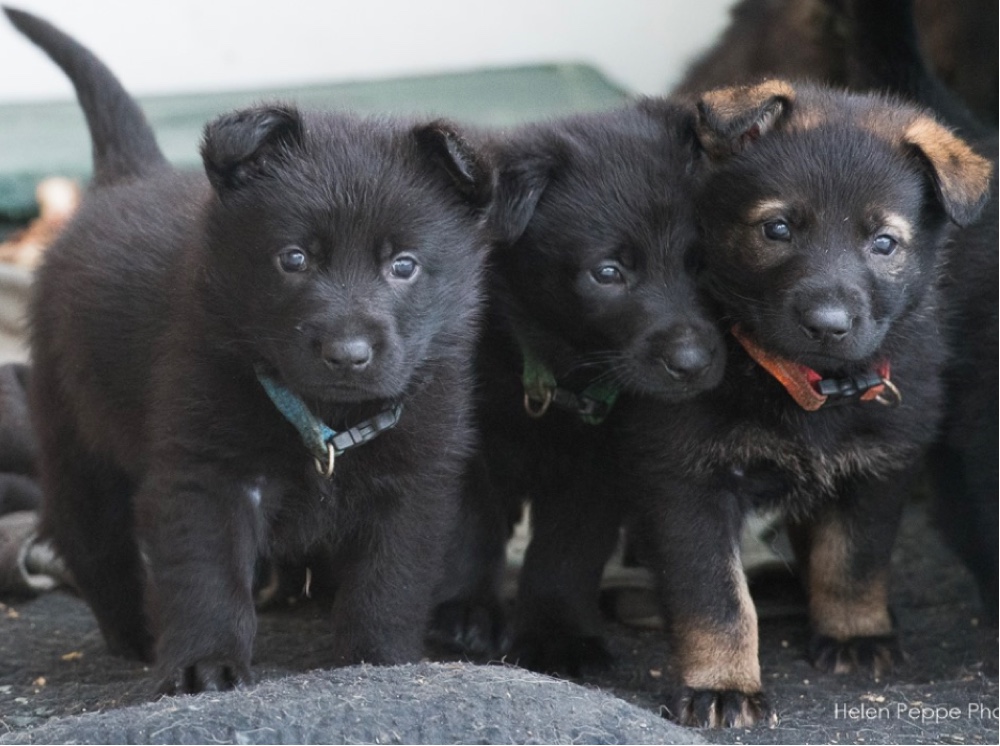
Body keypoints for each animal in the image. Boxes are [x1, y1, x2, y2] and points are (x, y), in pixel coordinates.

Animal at [7, 7, 492, 692]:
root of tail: (131, 175)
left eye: (404, 265)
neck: (325, 421)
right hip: (79, 440)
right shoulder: (210, 471)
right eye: (294, 259)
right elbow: (208, 578)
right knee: (91, 543)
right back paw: (135, 634)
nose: (347, 353)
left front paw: (378, 658)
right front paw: (205, 666)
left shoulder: (414, 484)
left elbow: (389, 581)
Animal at [432, 100, 728, 668]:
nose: (693, 362)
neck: (552, 371)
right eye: (608, 272)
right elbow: (467, 525)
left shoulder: (602, 462)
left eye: (702, 261)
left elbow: (567, 551)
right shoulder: (463, 439)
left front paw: (556, 634)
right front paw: (464, 614)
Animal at [616, 78, 992, 724]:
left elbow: (853, 562)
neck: (804, 382)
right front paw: (723, 684)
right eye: (778, 230)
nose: (828, 324)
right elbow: (716, 597)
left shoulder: (878, 465)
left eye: (884, 243)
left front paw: (854, 635)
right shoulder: (684, 478)